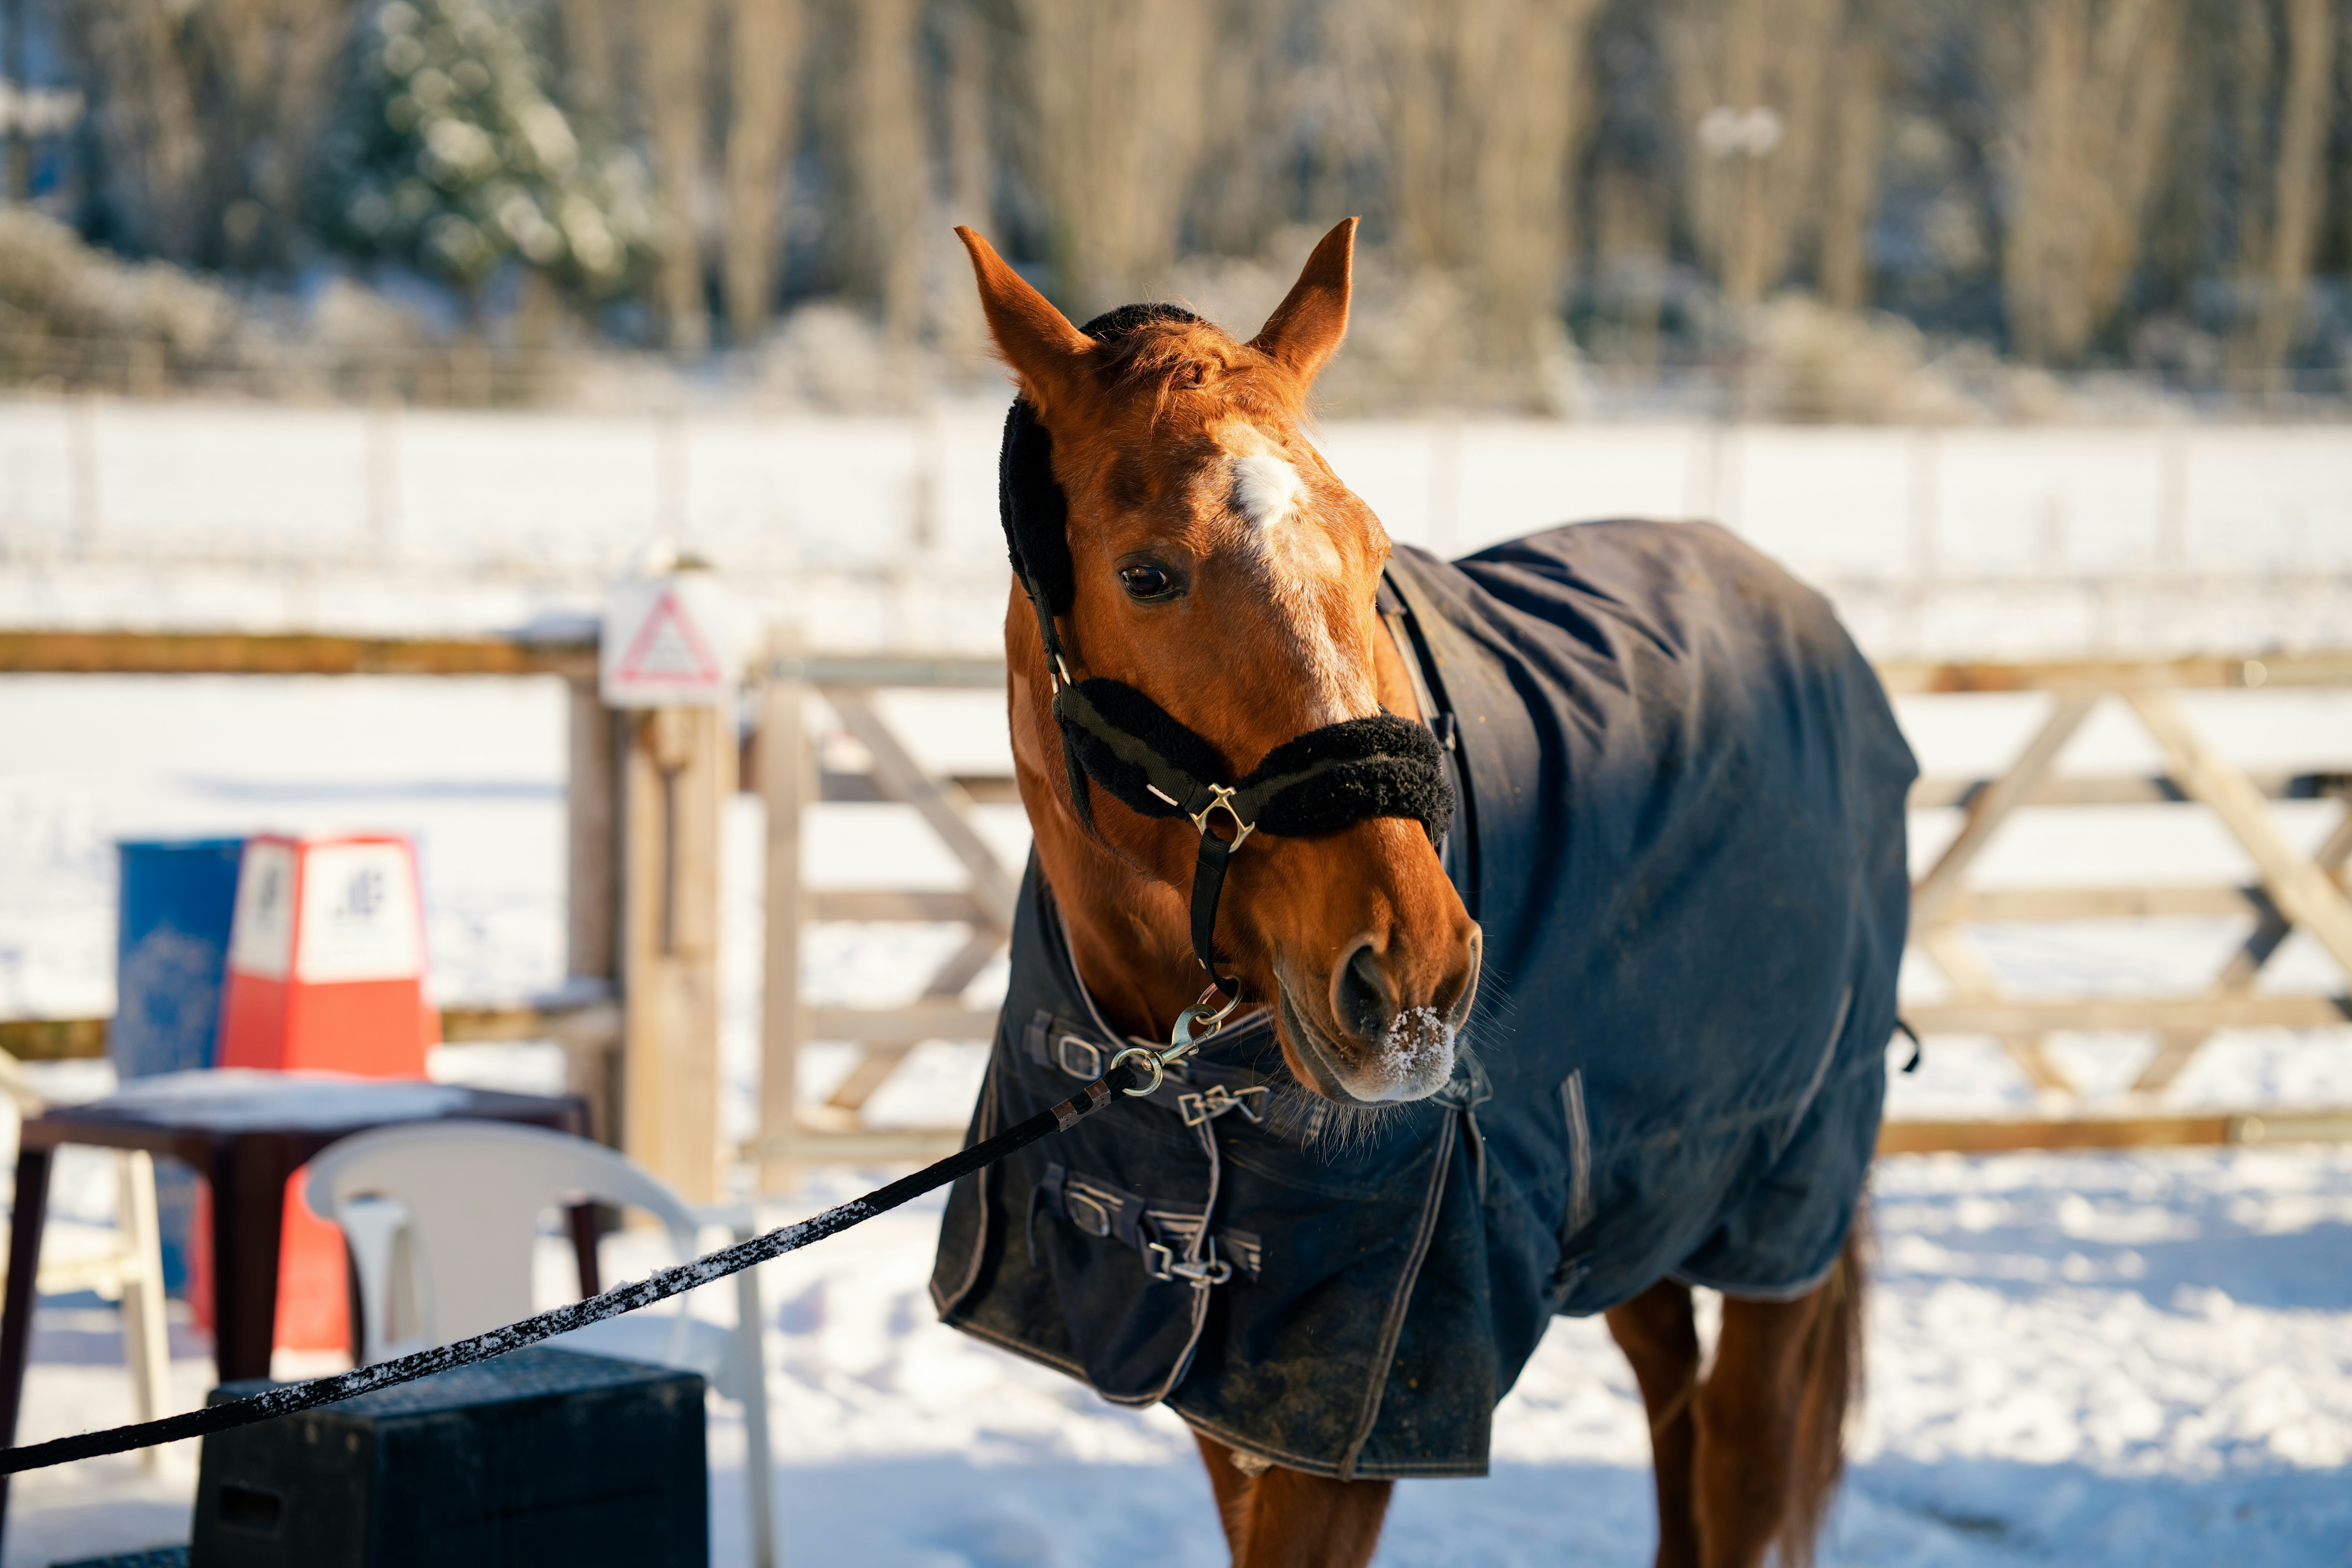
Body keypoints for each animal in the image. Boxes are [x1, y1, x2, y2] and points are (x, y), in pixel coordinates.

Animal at [930, 218, 1916, 1568]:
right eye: (1146, 575)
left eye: (1373, 551)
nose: (1414, 974)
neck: (1171, 1063)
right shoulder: (1230, 1383)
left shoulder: (1344, 1425)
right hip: (1634, 1205)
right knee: (1677, 1409)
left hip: (1781, 1208)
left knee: (1740, 1456)